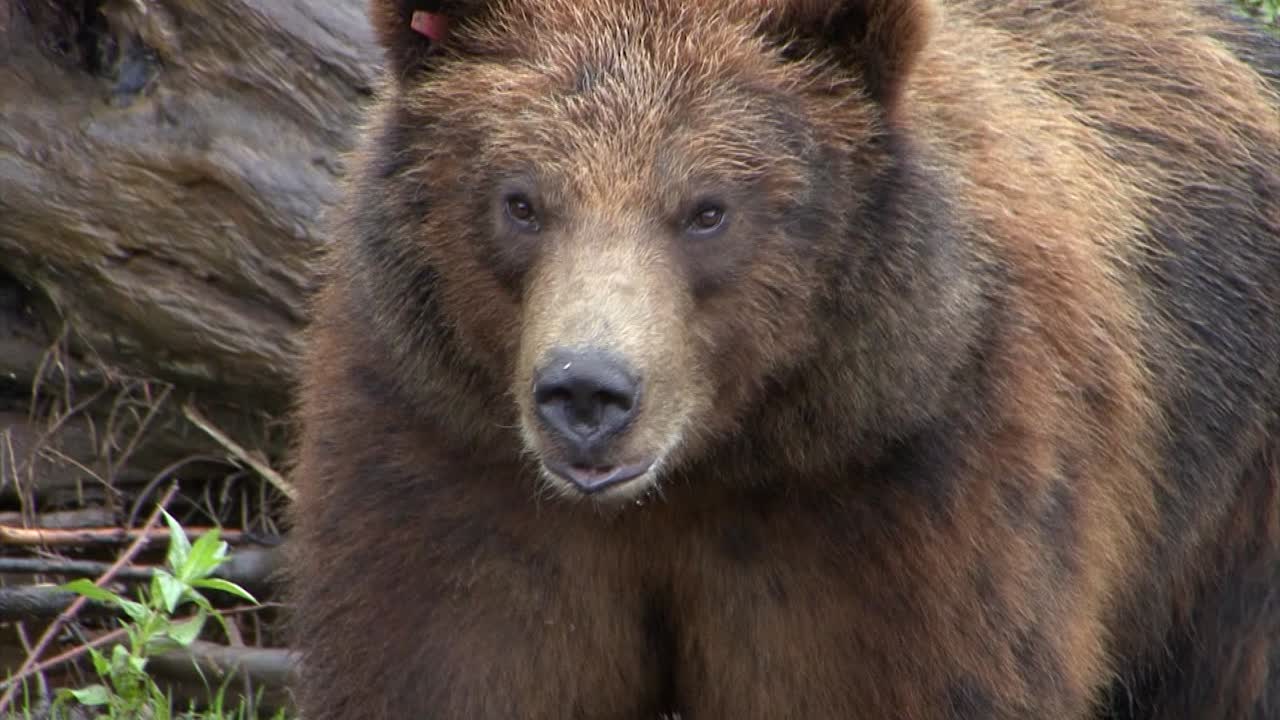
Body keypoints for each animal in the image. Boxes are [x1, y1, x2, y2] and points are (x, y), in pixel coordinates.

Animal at [286, 0, 1280, 717]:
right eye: (521, 199)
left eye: (707, 208)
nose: (588, 392)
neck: (715, 463)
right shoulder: (451, 462)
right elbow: (450, 662)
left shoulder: (906, 498)